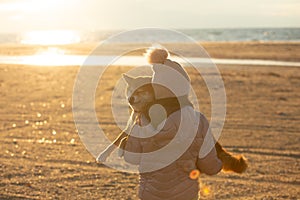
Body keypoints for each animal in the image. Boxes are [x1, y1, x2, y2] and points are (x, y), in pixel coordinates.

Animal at [97, 74, 247, 173]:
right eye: (130, 90)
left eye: (141, 91)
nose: (130, 99)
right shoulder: (132, 124)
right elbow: (117, 139)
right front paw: (103, 154)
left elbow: (126, 137)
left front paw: (120, 150)